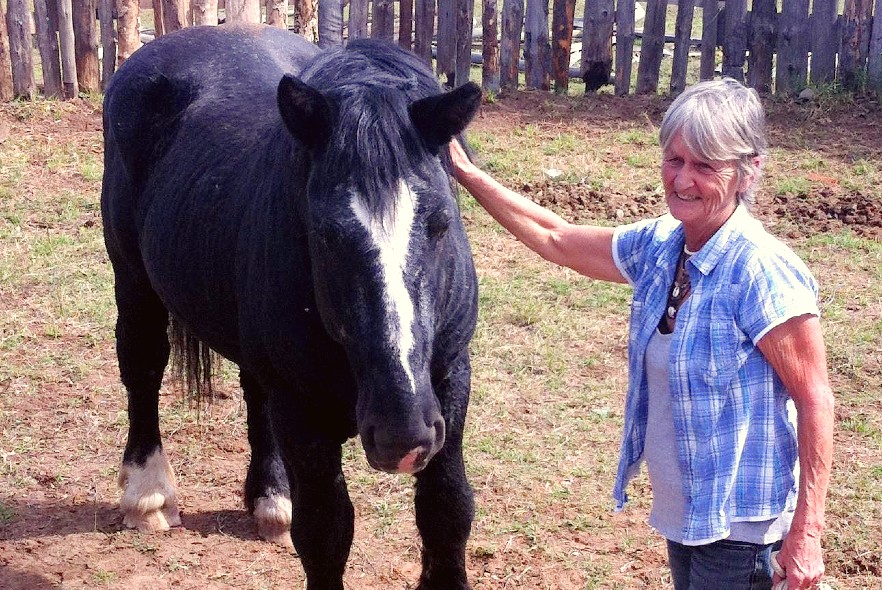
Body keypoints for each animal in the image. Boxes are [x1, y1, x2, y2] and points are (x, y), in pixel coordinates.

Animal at [102, 24, 482, 590]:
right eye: (324, 234)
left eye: (440, 224)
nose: (403, 434)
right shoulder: (304, 413)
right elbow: (325, 532)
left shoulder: (449, 380)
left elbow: (447, 510)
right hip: (134, 282)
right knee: (143, 370)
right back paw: (147, 495)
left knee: (253, 394)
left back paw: (271, 500)